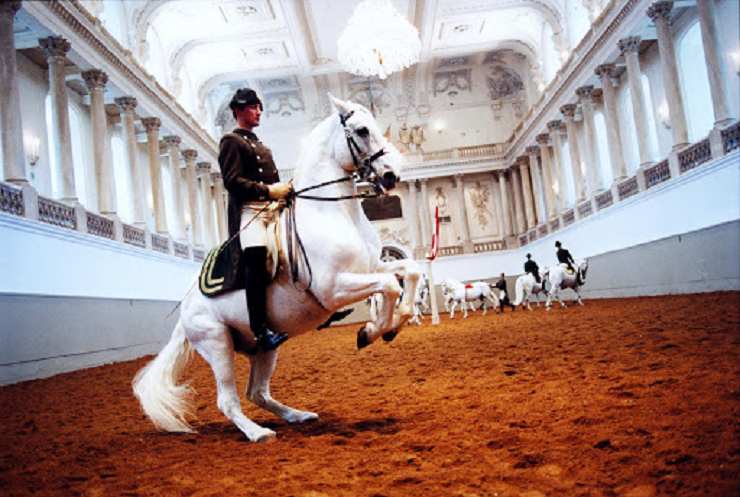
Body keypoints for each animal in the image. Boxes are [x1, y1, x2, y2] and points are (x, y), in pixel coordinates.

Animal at [132, 95, 421, 442]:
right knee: (228, 400)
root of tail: (186, 308)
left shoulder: (372, 266)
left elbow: (410, 271)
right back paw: (258, 433)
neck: (332, 213)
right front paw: (371, 332)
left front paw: (391, 326)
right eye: (362, 130)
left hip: (262, 349)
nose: (392, 175)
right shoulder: (334, 288)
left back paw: (298, 416)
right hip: (217, 343)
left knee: (257, 392)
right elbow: (390, 285)